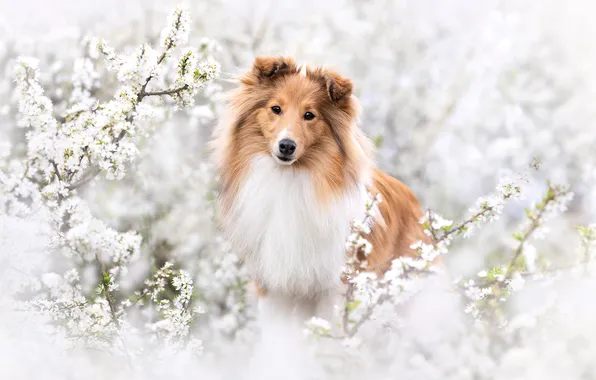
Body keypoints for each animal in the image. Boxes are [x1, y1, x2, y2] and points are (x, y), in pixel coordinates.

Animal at [210, 56, 428, 332]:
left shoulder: (335, 287)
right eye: (276, 109)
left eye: (309, 115)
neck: (290, 179)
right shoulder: (274, 285)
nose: (287, 146)